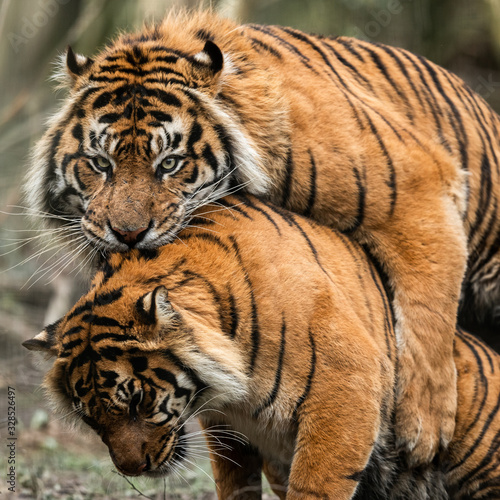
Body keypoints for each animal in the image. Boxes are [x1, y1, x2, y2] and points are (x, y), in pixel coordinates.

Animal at [24, 195, 500, 500]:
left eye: (138, 400)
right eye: (89, 416)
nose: (132, 470)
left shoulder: (345, 387)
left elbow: (316, 484)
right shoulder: (228, 428)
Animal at [25, 8, 500, 464]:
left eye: (170, 163)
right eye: (100, 163)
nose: (128, 234)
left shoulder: (420, 189)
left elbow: (427, 314)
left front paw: (424, 431)